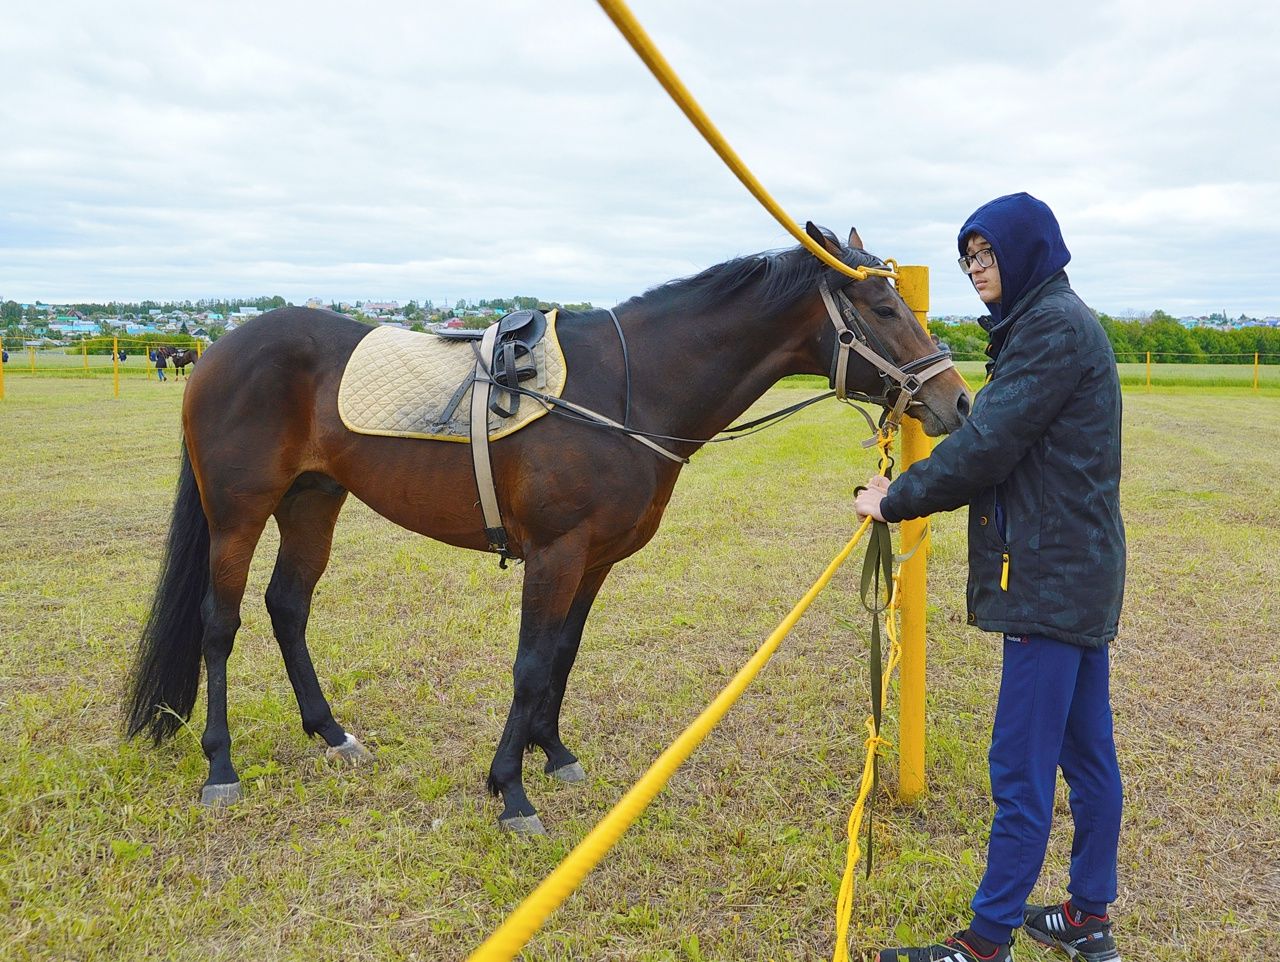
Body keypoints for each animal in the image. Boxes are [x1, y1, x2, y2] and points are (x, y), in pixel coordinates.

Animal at [127, 227, 967, 834]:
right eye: (884, 309)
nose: (957, 402)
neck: (624, 387)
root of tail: (218, 351)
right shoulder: (554, 555)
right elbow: (531, 665)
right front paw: (510, 791)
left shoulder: (594, 560)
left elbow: (562, 655)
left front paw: (551, 752)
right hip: (238, 512)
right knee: (219, 623)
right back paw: (220, 767)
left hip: (313, 501)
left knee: (288, 607)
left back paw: (331, 734)